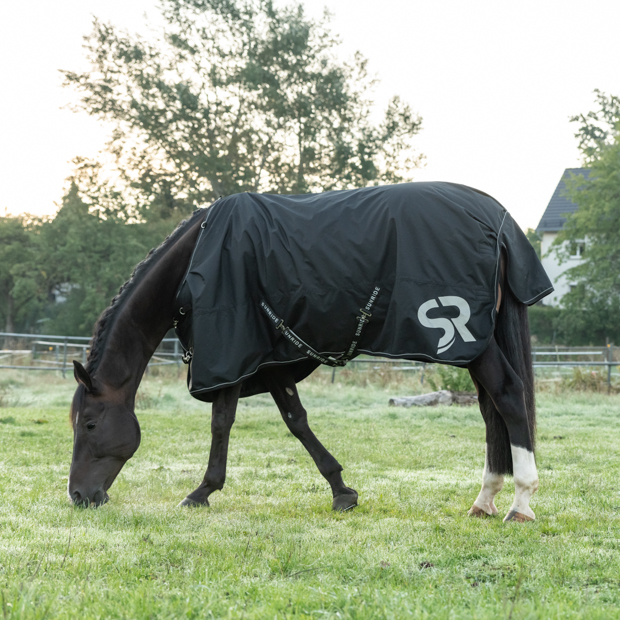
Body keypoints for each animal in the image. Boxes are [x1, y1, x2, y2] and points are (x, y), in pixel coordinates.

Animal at [68, 182, 552, 520]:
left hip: (472, 341)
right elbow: (295, 421)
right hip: (476, 346)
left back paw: (520, 503)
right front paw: (342, 491)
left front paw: (201, 492)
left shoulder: (233, 353)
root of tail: (497, 221)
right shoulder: (269, 358)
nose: (78, 495)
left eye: (89, 424)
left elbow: (222, 423)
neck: (195, 260)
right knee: (491, 410)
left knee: (508, 398)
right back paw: (485, 499)